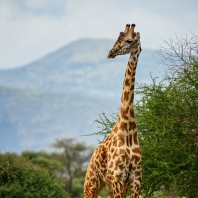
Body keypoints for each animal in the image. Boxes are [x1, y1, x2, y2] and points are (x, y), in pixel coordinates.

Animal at [84, 23, 142, 198]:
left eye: (129, 40)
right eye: (118, 38)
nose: (110, 53)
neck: (128, 129)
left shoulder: (135, 179)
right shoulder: (118, 178)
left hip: (109, 186)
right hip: (92, 183)